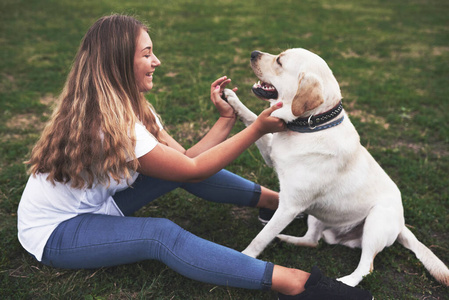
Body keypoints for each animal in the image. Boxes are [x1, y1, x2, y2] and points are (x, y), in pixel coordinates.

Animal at [223, 48, 448, 288]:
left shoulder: (289, 206)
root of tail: (402, 224)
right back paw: (284, 239)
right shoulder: (271, 155)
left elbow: (261, 237)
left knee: (366, 267)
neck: (311, 126)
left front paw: (244, 258)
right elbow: (253, 119)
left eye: (280, 61)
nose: (253, 52)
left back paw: (343, 282)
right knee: (312, 241)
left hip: (375, 223)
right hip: (317, 216)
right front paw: (231, 98)